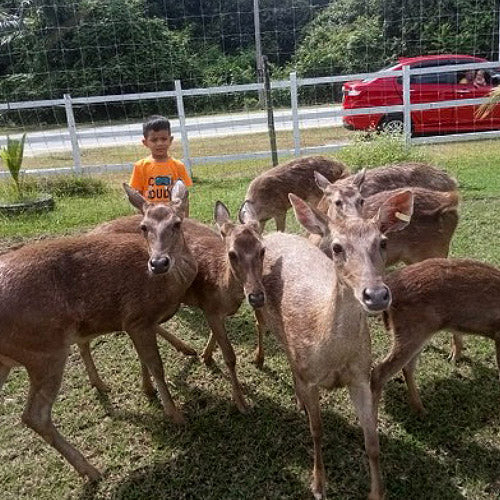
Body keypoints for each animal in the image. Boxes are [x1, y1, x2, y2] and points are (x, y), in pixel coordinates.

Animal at [0, 181, 197, 480]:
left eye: (177, 223)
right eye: (143, 227)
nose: (158, 263)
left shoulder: (135, 322)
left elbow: (144, 359)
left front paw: (148, 389)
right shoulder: (137, 317)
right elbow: (156, 365)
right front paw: (175, 414)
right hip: (43, 349)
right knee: (35, 415)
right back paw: (91, 470)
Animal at [86, 197, 266, 412]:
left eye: (263, 250)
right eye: (232, 254)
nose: (256, 297)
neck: (223, 286)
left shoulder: (215, 310)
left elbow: (214, 335)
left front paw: (206, 356)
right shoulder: (210, 306)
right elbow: (230, 355)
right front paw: (241, 402)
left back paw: (184, 350)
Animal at [254, 188, 414, 500]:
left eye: (383, 242)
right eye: (338, 247)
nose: (376, 295)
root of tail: (275, 234)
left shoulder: (361, 376)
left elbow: (372, 441)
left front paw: (377, 492)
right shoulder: (310, 376)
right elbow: (317, 431)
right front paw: (318, 485)